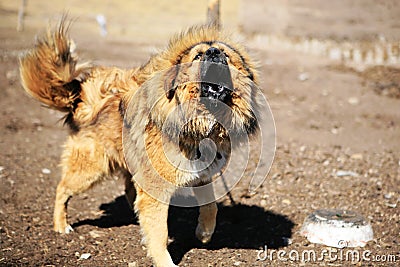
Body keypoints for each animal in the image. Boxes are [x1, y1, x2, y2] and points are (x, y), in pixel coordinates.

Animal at [20, 19, 260, 267]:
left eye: (225, 54)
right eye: (198, 56)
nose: (214, 53)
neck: (201, 122)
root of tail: (88, 102)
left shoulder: (201, 176)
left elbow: (211, 206)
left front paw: (204, 233)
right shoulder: (157, 188)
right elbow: (160, 232)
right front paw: (165, 261)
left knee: (128, 190)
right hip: (91, 170)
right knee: (62, 189)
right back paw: (61, 225)